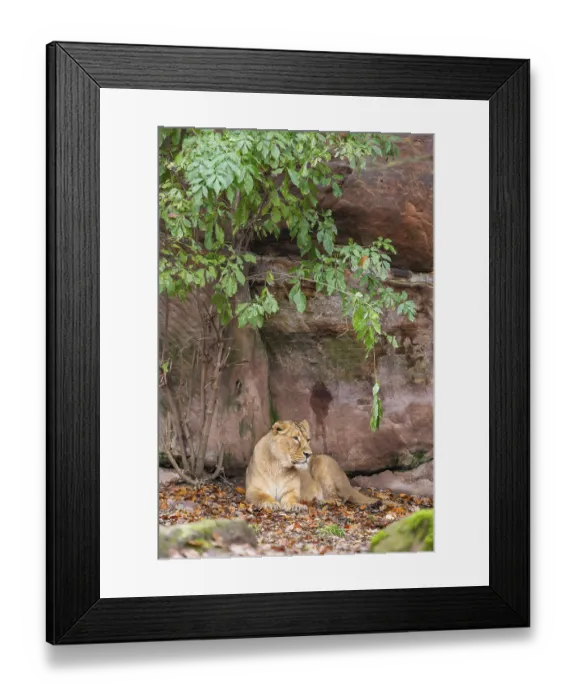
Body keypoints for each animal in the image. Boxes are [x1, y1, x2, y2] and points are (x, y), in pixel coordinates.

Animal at [245, 419, 380, 512]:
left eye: (308, 439)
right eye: (295, 438)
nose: (309, 454)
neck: (279, 466)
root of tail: (348, 484)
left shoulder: (292, 491)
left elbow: (291, 498)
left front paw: (296, 506)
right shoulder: (253, 490)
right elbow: (262, 496)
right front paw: (272, 503)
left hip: (323, 462)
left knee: (339, 499)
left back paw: (321, 502)